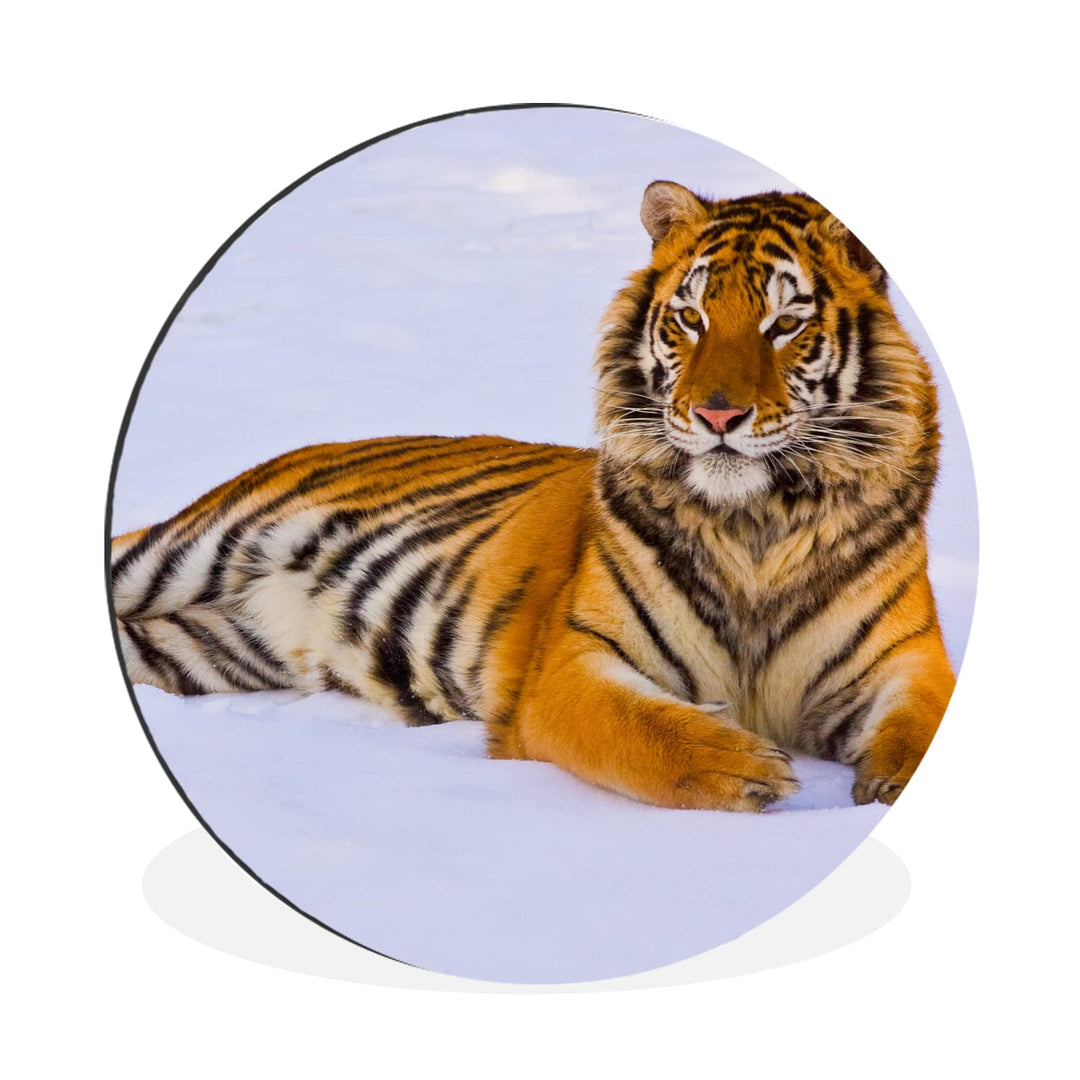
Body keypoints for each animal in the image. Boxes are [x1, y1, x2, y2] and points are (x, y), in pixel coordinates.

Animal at [110, 182, 956, 812]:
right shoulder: (573, 661)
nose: (718, 416)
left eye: (785, 324)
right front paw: (746, 767)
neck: (756, 521)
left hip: (205, 648)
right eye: (690, 317)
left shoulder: (906, 660)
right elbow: (639, 729)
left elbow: (923, 727)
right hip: (188, 549)